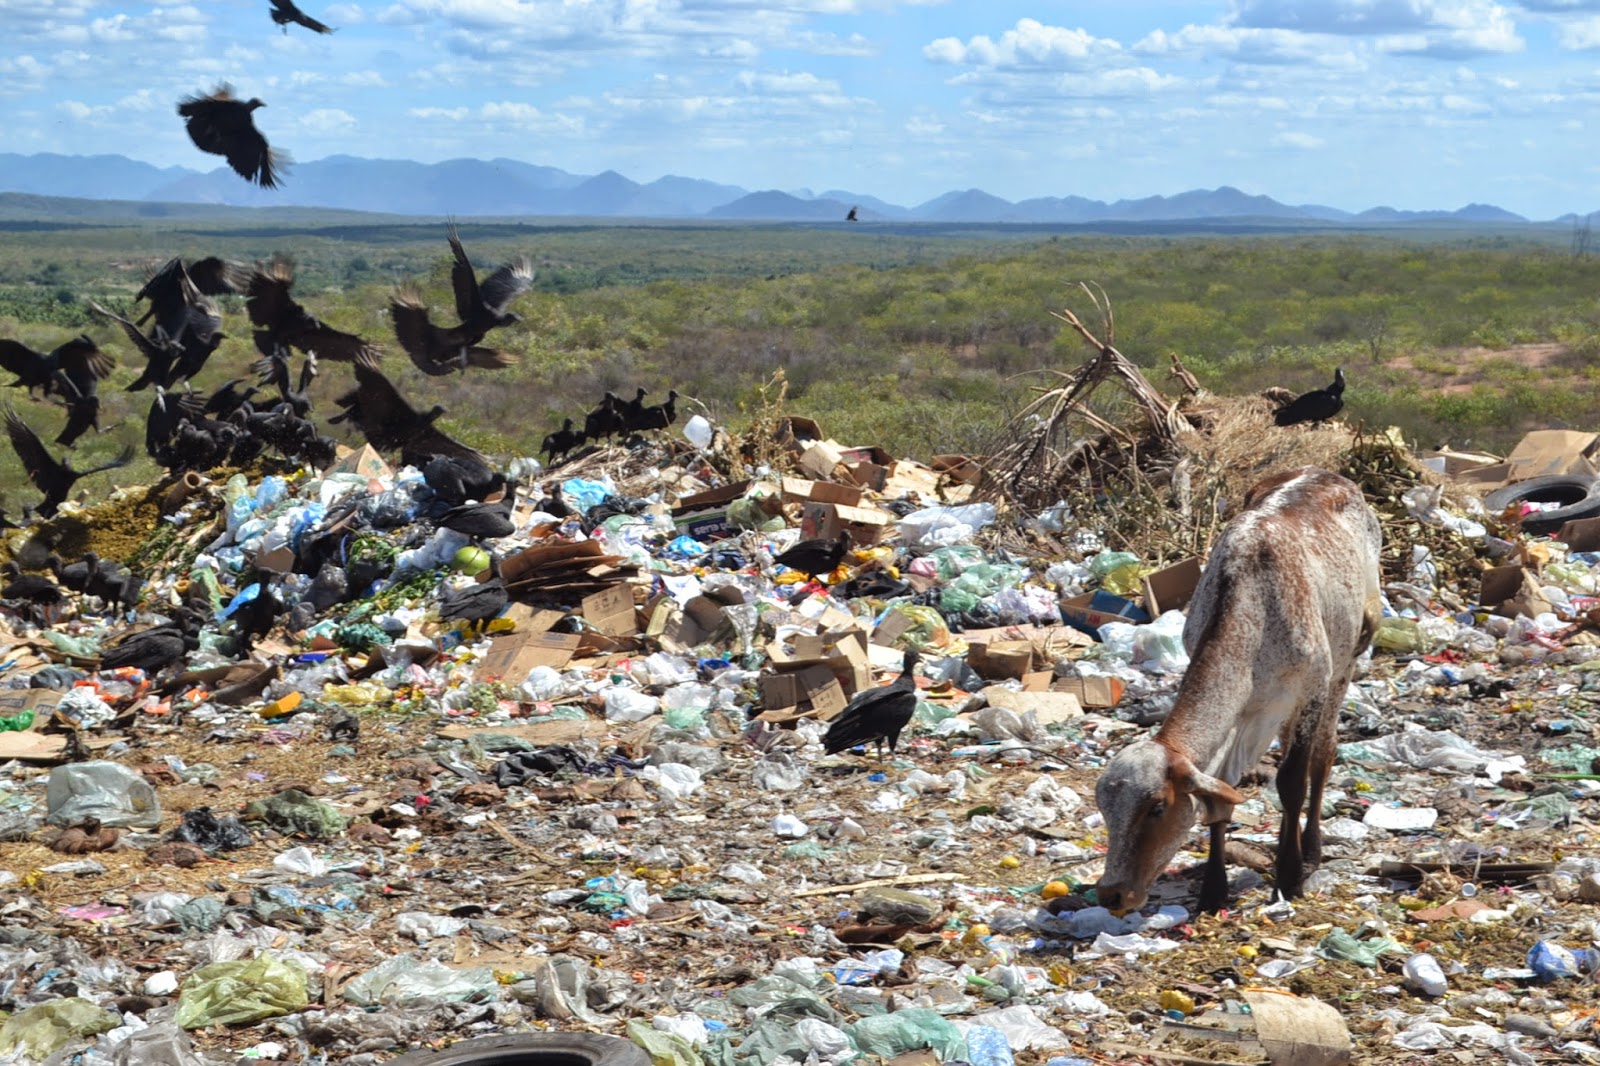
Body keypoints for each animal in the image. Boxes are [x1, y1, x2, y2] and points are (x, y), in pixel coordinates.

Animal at [1094, 467, 1382, 915]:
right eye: (1105, 810)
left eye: (1157, 807)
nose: (1112, 893)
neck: (1254, 612)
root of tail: (1323, 472)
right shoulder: (1243, 716)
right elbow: (1221, 797)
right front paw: (1214, 889)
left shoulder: (1312, 689)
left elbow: (1292, 782)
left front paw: (1289, 877)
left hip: (1346, 661)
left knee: (1323, 755)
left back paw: (1310, 851)